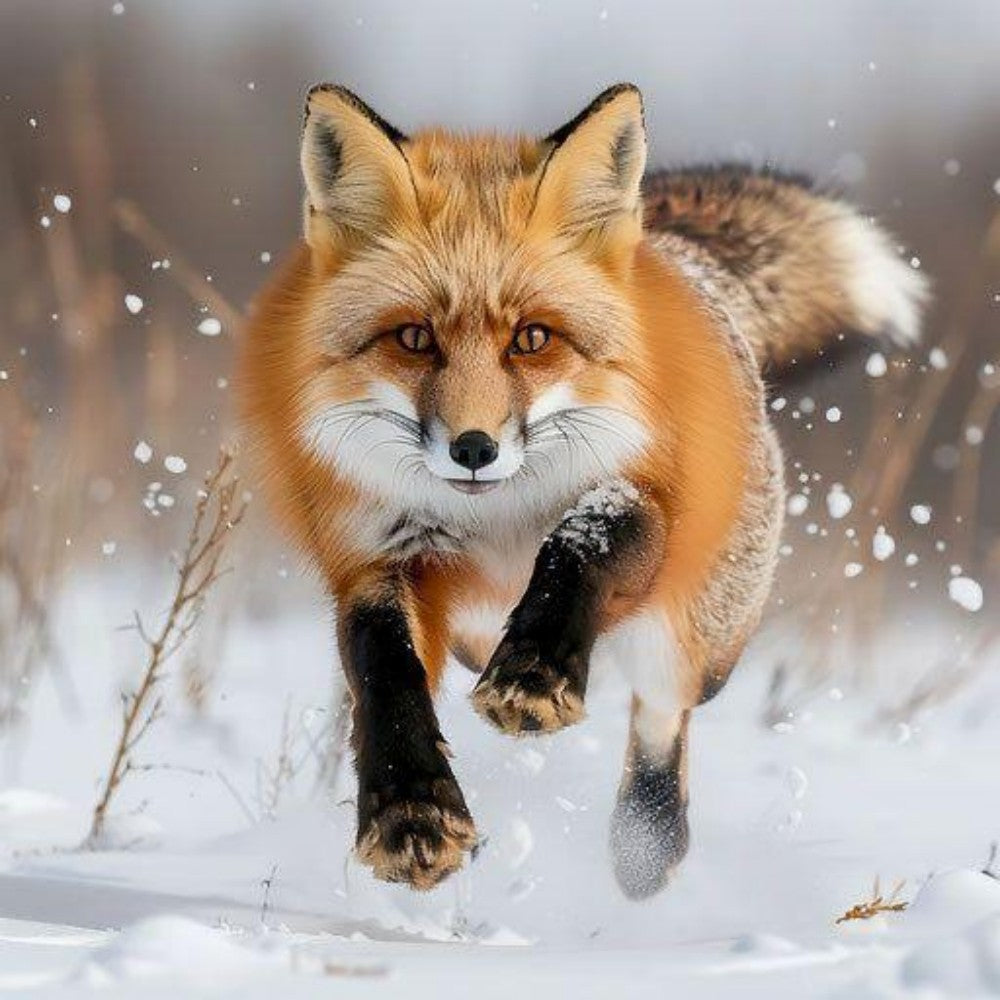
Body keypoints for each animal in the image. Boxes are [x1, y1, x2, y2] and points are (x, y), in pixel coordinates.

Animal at [239, 83, 927, 897]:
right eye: (413, 338)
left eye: (532, 339)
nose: (475, 449)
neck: (498, 524)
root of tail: (685, 259)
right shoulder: (377, 557)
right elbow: (384, 673)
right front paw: (410, 814)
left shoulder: (640, 496)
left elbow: (581, 544)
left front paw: (535, 674)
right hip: (479, 631)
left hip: (698, 632)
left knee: (667, 704)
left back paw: (646, 844)